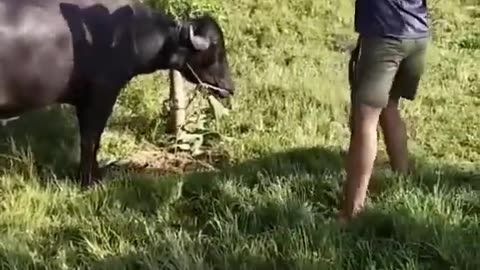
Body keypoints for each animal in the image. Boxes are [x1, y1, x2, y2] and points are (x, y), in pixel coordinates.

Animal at [0, 0, 234, 186]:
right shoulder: (101, 96)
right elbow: (91, 139)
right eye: (214, 51)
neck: (131, 35)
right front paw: (89, 179)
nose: (230, 87)